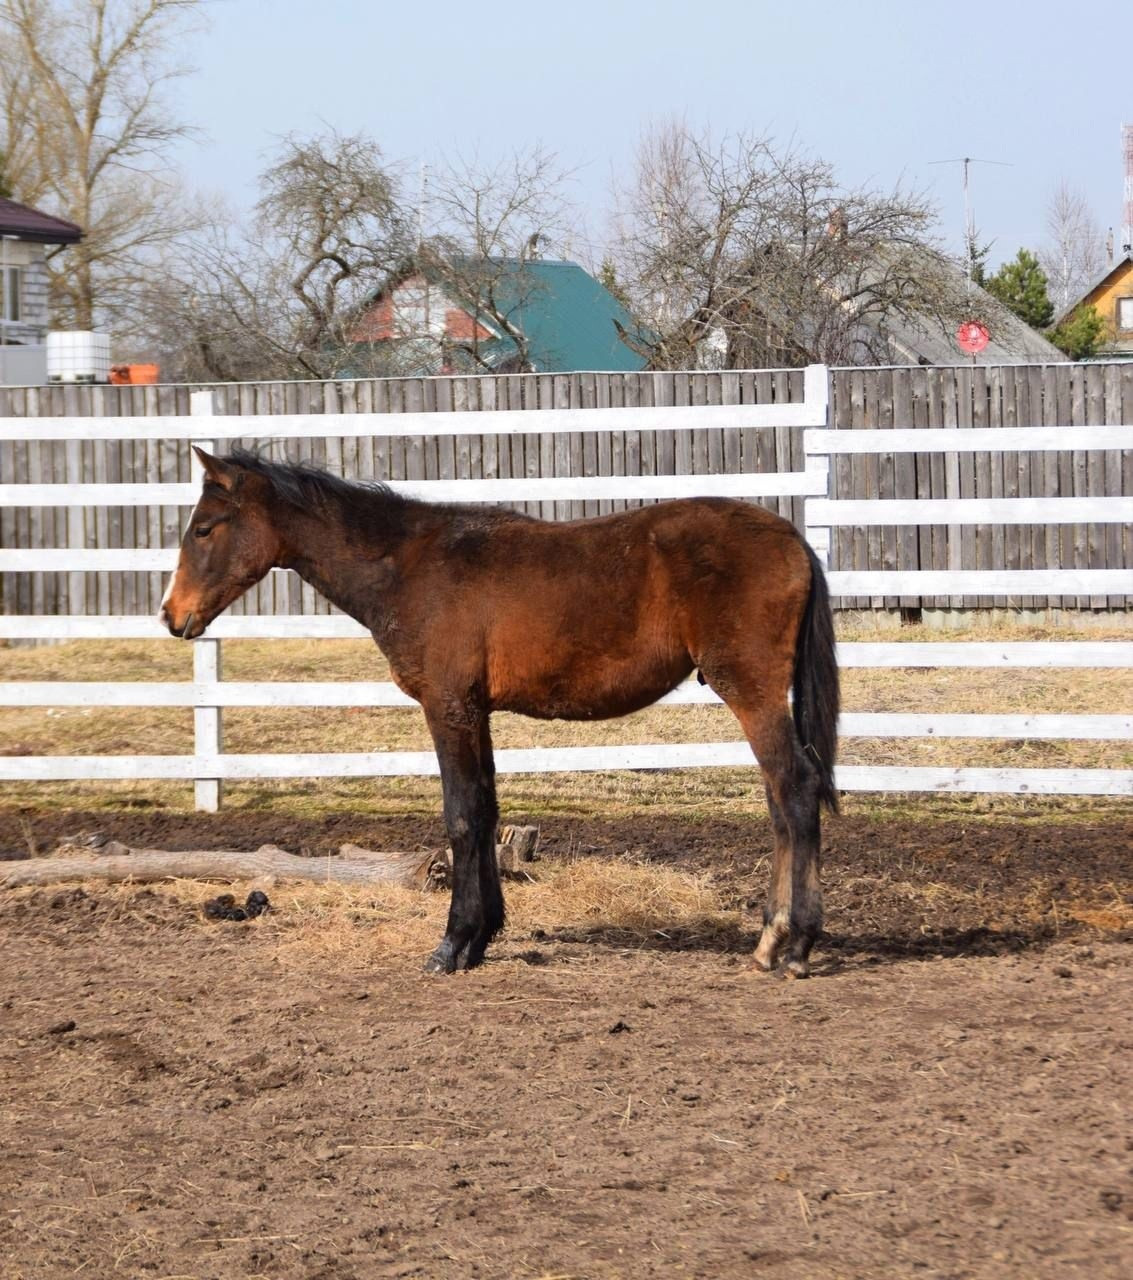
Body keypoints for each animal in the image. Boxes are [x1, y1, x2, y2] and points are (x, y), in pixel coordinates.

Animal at [165, 445, 839, 972]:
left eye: (204, 529)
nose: (172, 616)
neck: (410, 567)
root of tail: (794, 541)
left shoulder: (448, 708)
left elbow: (462, 816)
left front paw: (452, 944)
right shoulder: (476, 712)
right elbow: (486, 812)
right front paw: (483, 936)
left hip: (749, 689)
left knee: (795, 788)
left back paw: (792, 944)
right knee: (781, 800)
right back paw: (770, 940)